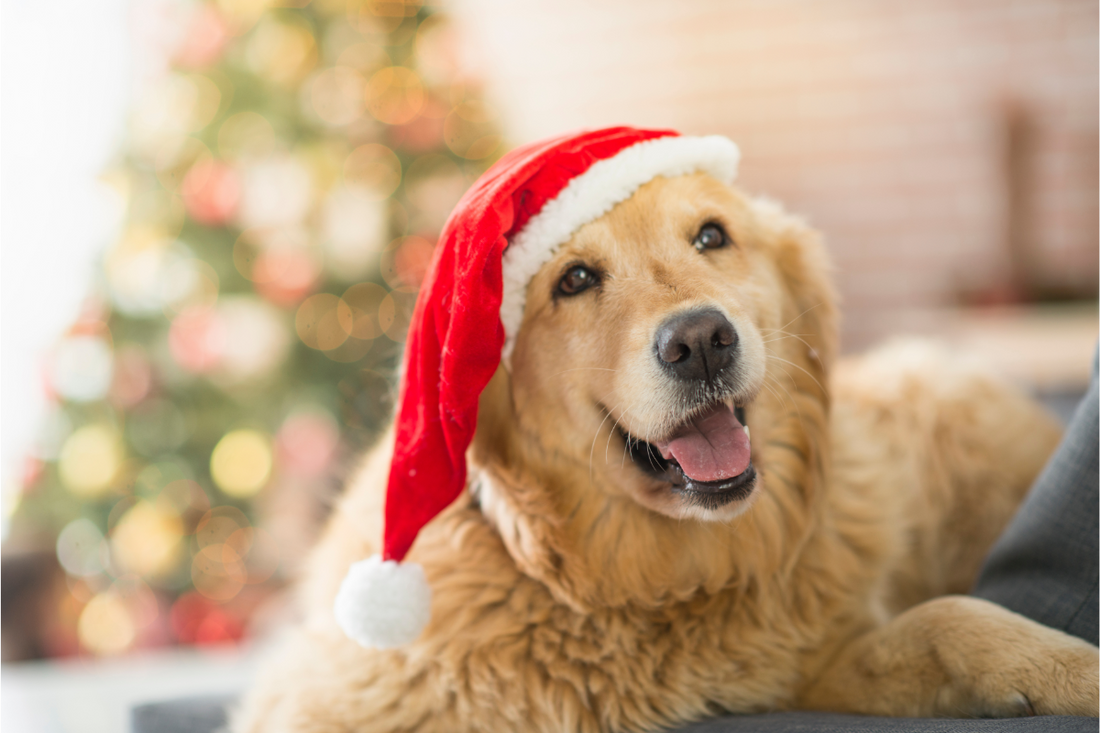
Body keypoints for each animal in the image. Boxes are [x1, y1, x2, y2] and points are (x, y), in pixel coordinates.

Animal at [236, 163, 1095, 726]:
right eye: (575, 280)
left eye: (711, 235)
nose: (702, 341)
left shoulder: (808, 659)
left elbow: (950, 615)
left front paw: (1068, 668)